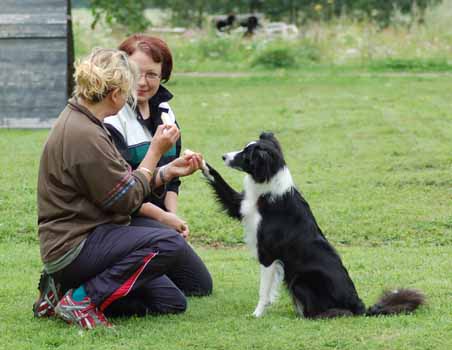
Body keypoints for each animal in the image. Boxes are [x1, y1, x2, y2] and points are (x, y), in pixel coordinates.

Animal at [201, 133, 424, 318]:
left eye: (246, 154)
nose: (223, 156)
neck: (269, 184)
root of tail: (359, 305)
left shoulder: (267, 254)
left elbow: (263, 290)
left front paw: (256, 314)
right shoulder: (241, 206)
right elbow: (218, 180)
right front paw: (200, 162)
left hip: (300, 280)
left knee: (333, 312)